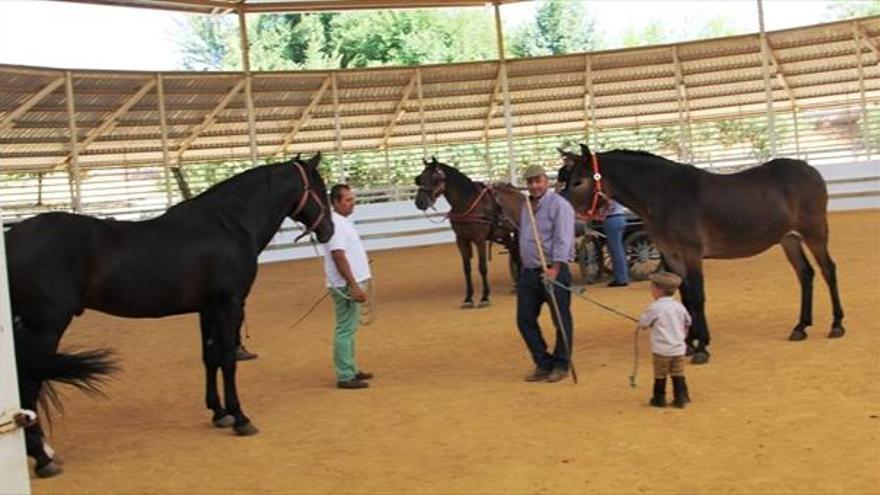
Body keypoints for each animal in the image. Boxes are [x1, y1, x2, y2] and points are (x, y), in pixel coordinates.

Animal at [6, 153, 334, 478]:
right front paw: (240, 418)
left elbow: (210, 358)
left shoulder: (208, 309)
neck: (228, 225)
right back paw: (42, 458)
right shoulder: (228, 306)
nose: (329, 230)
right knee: (29, 381)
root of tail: (11, 238)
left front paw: (219, 413)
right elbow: (228, 360)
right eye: (320, 188)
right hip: (45, 328)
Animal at [412, 157, 524, 308]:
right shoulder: (461, 240)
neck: (466, 204)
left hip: (518, 231)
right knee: (514, 252)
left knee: (519, 254)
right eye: (420, 178)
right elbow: (466, 269)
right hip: (504, 233)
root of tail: (520, 194)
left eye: (435, 178)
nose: (420, 202)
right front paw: (468, 298)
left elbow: (482, 267)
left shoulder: (480, 239)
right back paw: (517, 284)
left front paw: (484, 297)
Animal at [560, 143, 844, 364]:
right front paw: (687, 342)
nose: (565, 211)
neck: (665, 195)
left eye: (577, 181)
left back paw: (836, 324)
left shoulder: (691, 254)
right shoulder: (672, 256)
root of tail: (809, 170)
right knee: (805, 274)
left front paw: (702, 347)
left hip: (815, 233)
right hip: (789, 239)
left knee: (828, 270)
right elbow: (683, 296)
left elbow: (697, 297)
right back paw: (800, 327)